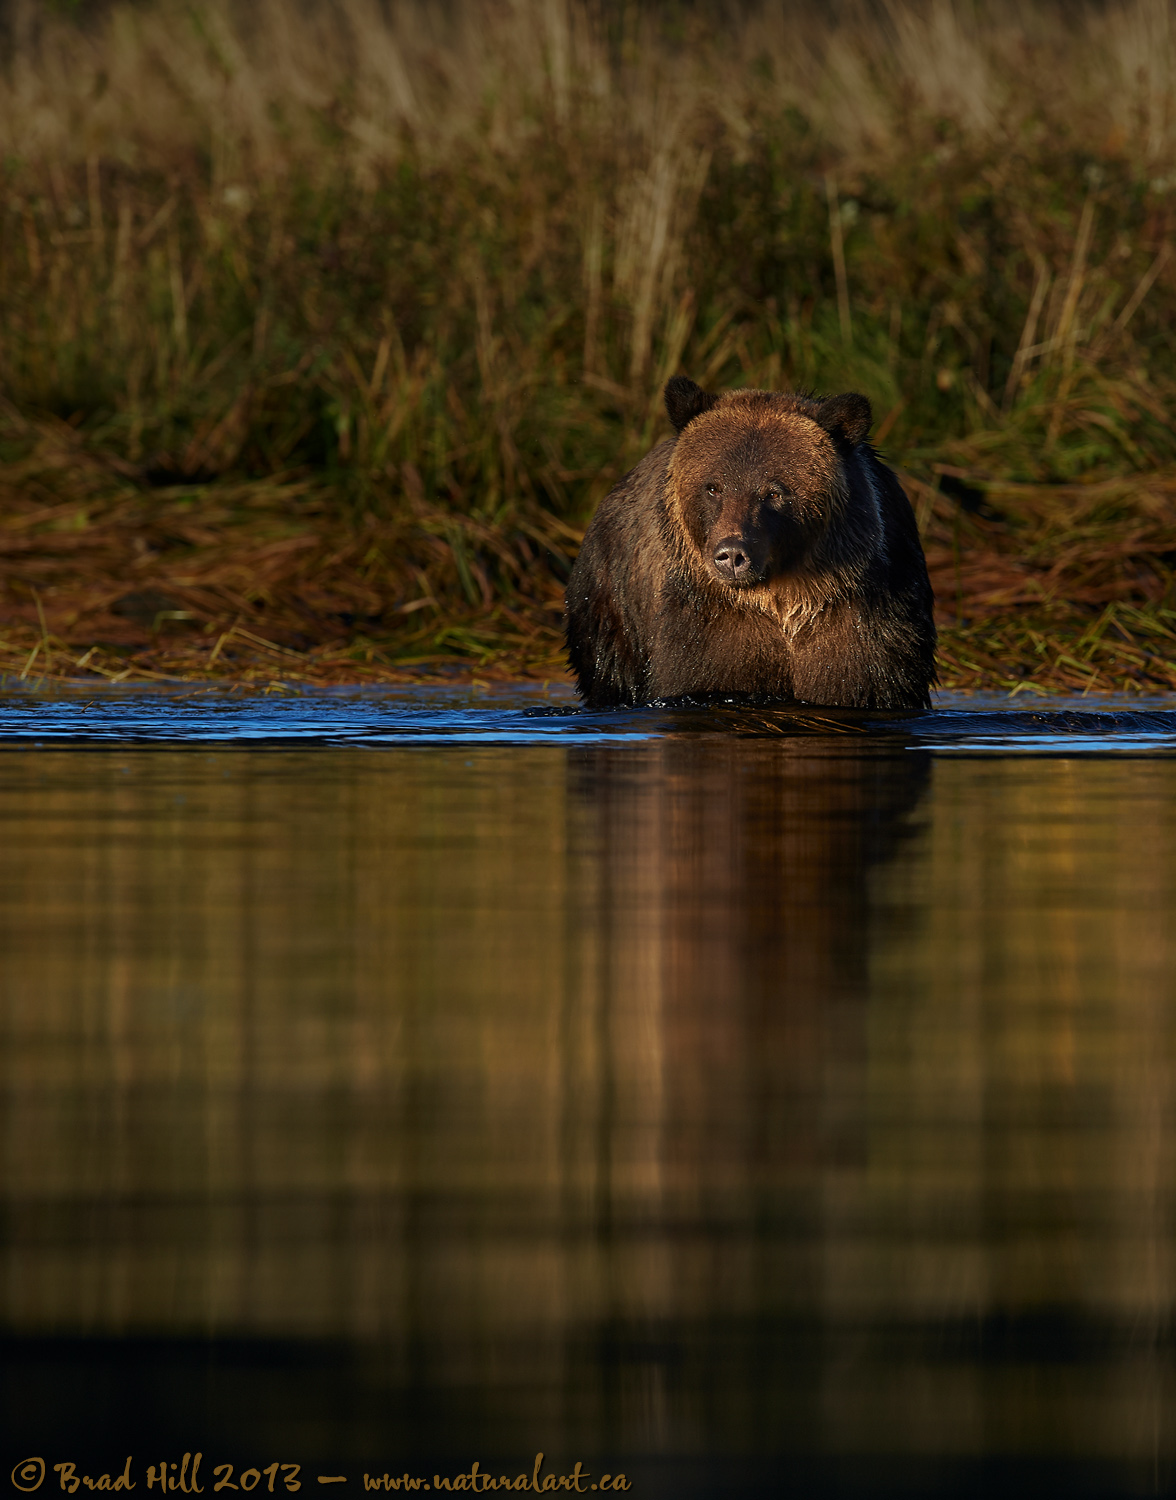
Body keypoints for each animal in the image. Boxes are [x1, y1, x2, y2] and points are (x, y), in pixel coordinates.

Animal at [564, 372, 936, 705]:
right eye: (713, 487)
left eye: (774, 492)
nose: (731, 553)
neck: (783, 599)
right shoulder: (711, 623)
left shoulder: (862, 615)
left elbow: (864, 680)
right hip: (611, 599)